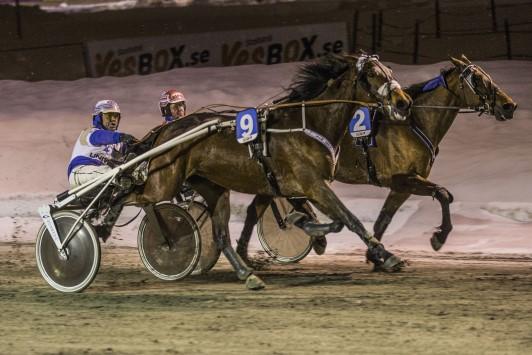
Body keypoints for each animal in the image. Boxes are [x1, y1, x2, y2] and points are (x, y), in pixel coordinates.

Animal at [127, 54, 414, 290]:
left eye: (389, 70)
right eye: (373, 74)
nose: (404, 102)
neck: (310, 124)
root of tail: (167, 129)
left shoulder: (290, 185)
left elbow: (325, 218)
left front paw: (307, 226)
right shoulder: (311, 183)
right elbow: (349, 218)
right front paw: (386, 256)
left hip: (212, 187)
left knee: (220, 236)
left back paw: (247, 274)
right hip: (164, 182)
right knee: (134, 197)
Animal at [235, 54, 516, 268]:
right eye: (477, 79)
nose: (509, 105)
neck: (412, 121)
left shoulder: (401, 184)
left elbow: (384, 218)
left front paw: (376, 255)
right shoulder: (404, 178)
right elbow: (444, 194)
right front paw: (438, 238)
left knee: (257, 208)